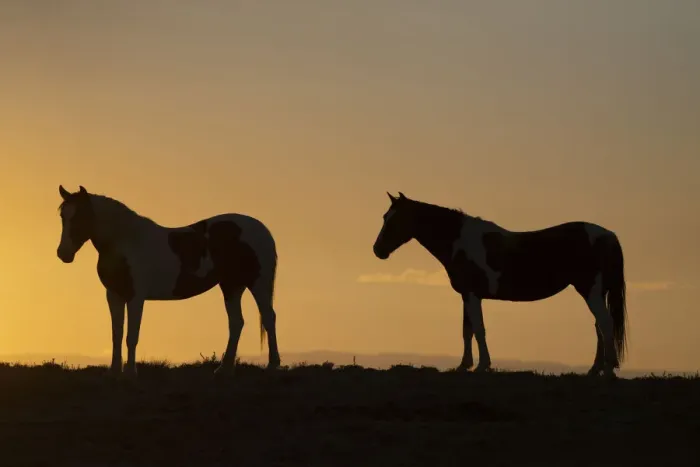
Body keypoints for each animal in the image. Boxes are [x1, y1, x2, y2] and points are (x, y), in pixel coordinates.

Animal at [56, 185, 281, 377]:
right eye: (62, 216)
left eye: (81, 216)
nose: (63, 254)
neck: (126, 241)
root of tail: (262, 230)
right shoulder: (114, 295)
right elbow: (117, 334)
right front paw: (114, 372)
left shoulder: (136, 297)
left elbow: (131, 335)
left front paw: (130, 373)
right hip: (231, 285)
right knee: (236, 323)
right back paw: (224, 370)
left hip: (258, 283)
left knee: (268, 317)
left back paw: (272, 366)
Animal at [372, 192, 628, 378]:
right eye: (384, 216)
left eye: (394, 219)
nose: (378, 250)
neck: (460, 241)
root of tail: (608, 235)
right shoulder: (467, 295)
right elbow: (466, 330)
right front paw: (463, 365)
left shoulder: (472, 294)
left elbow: (479, 329)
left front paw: (482, 365)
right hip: (595, 292)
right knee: (599, 326)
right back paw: (594, 370)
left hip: (590, 291)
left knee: (605, 323)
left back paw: (607, 370)